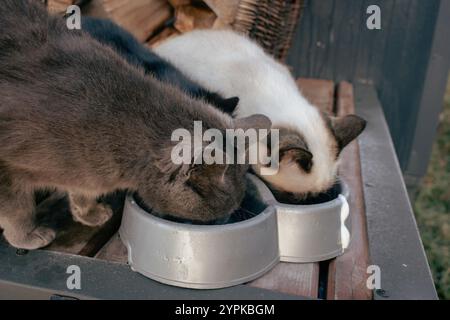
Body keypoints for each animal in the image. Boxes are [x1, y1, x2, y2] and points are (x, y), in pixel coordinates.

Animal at [0, 0, 270, 249]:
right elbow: (18, 209)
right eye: (219, 214)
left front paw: (90, 212)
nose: (225, 221)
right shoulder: (7, 171)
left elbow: (83, 190)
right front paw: (27, 236)